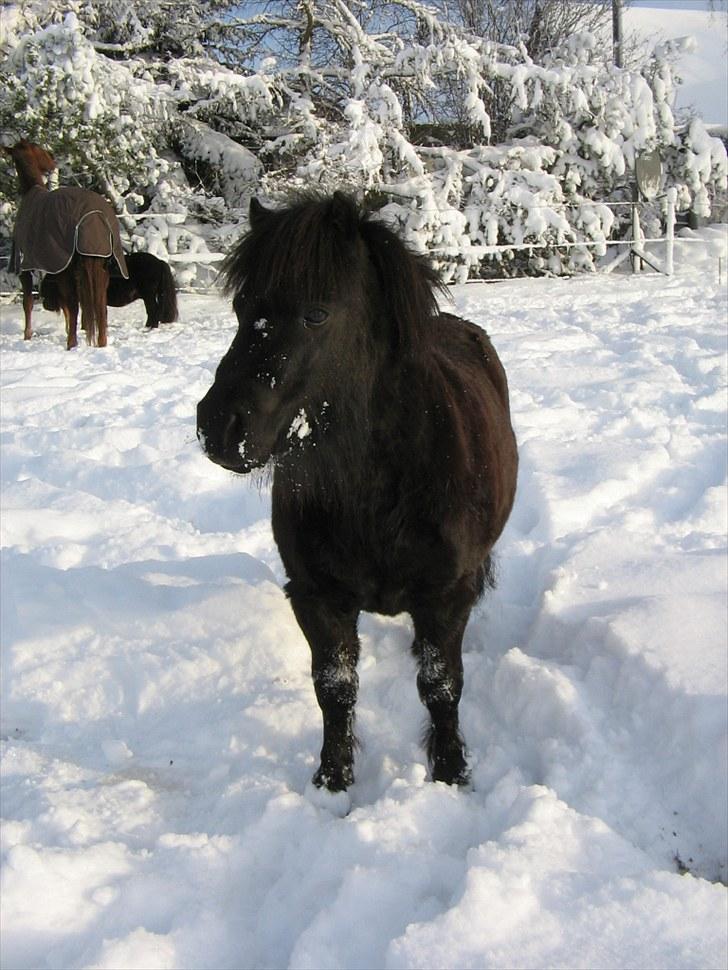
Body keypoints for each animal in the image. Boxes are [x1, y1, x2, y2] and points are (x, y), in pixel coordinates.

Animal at [3, 136, 128, 348]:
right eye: (39, 150)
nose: (51, 160)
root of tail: (94, 215)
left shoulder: (27, 266)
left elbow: (28, 302)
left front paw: (27, 336)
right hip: (99, 265)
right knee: (99, 306)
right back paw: (100, 343)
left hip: (68, 268)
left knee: (74, 304)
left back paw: (72, 344)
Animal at [42, 251, 180, 330]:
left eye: (49, 285)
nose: (45, 305)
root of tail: (159, 262)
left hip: (149, 295)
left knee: (153, 310)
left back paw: (151, 328)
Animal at [198, 191, 516, 796]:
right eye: (242, 307)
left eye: (317, 313)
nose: (219, 427)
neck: (377, 489)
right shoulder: (317, 596)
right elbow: (334, 687)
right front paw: (333, 781)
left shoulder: (445, 597)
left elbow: (441, 687)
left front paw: (450, 774)